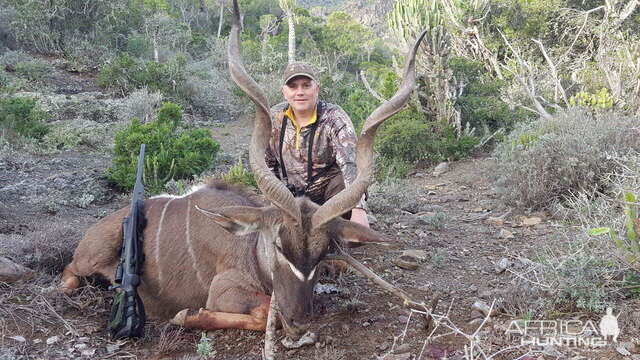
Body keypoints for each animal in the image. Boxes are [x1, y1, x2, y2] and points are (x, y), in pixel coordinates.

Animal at [60, 0, 428, 334]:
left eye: (324, 253)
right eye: (278, 245)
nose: (298, 318)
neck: (251, 248)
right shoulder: (224, 290)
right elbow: (262, 312)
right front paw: (186, 315)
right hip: (88, 259)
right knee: (68, 274)